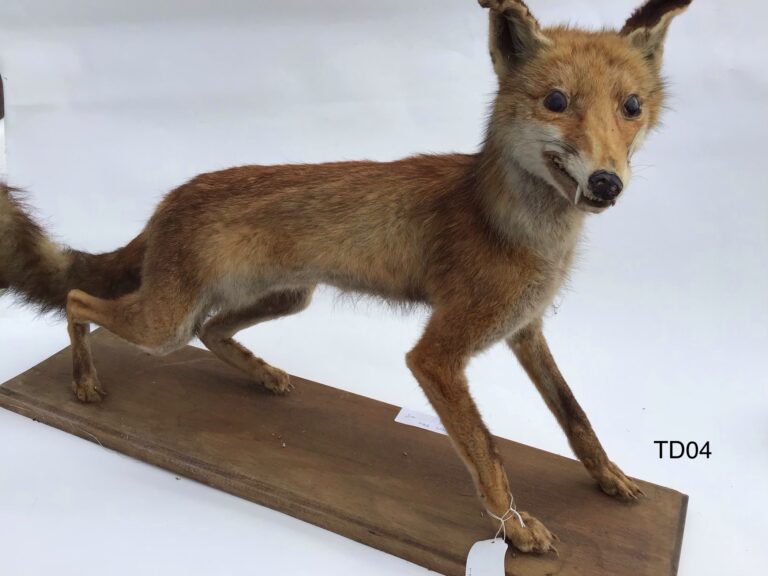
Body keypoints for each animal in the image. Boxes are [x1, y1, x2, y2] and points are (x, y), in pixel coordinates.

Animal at [0, 0, 692, 554]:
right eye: (556, 102)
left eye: (631, 107)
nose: (606, 183)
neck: (519, 228)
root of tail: (170, 199)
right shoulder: (437, 355)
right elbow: (489, 455)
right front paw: (514, 530)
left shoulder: (525, 330)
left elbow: (577, 418)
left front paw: (611, 479)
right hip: (163, 324)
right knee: (78, 298)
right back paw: (84, 383)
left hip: (283, 297)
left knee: (212, 332)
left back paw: (265, 376)